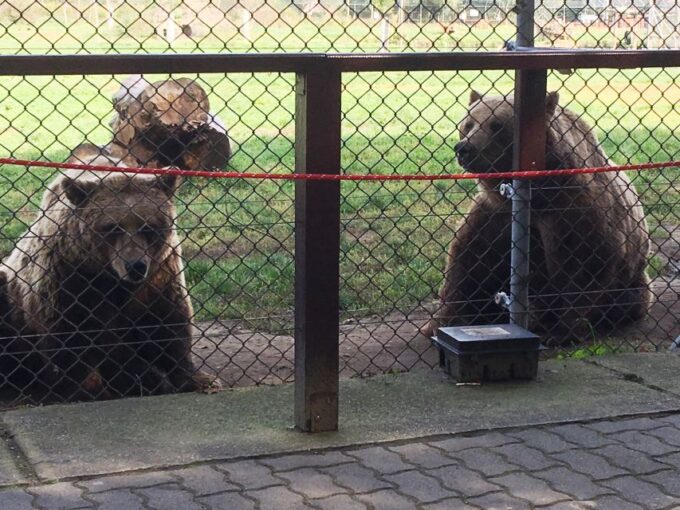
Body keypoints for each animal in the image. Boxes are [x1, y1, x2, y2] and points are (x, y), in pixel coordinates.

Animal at [1, 167, 220, 401]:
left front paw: (199, 379)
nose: (135, 266)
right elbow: (73, 339)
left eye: (147, 227)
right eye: (113, 227)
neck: (110, 276)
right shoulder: (70, 277)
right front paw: (94, 388)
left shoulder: (159, 272)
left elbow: (168, 320)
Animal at [422, 91, 651, 342]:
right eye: (468, 124)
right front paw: (436, 323)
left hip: (633, 281)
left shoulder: (572, 213)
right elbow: (469, 261)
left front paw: (561, 331)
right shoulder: (494, 214)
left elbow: (582, 265)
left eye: (496, 124)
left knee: (628, 299)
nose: (464, 148)